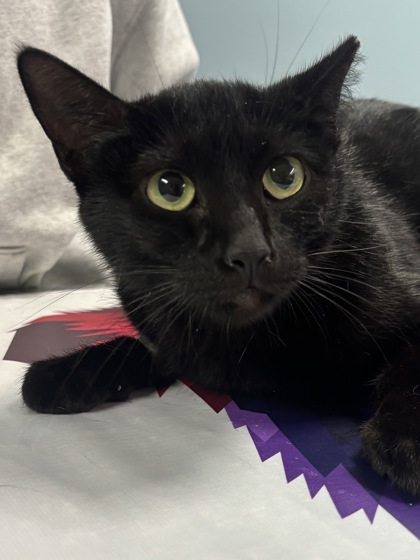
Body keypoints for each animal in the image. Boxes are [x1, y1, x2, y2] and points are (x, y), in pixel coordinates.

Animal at [16, 36, 420, 497]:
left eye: (285, 175)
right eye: (169, 188)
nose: (250, 251)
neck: (255, 341)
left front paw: (406, 438)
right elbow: (159, 348)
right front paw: (69, 372)